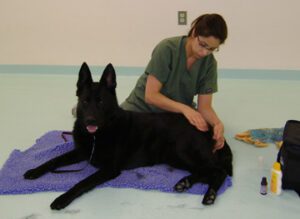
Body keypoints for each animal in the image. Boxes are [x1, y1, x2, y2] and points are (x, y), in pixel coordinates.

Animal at [24, 62, 233, 210]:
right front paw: (34, 171)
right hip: (175, 157)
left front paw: (62, 198)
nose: (90, 121)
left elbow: (81, 182)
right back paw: (185, 182)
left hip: (182, 150)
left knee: (218, 171)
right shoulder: (81, 152)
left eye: (101, 102)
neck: (97, 136)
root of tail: (208, 126)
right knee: (206, 171)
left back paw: (209, 194)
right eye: (85, 101)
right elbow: (53, 160)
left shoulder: (109, 169)